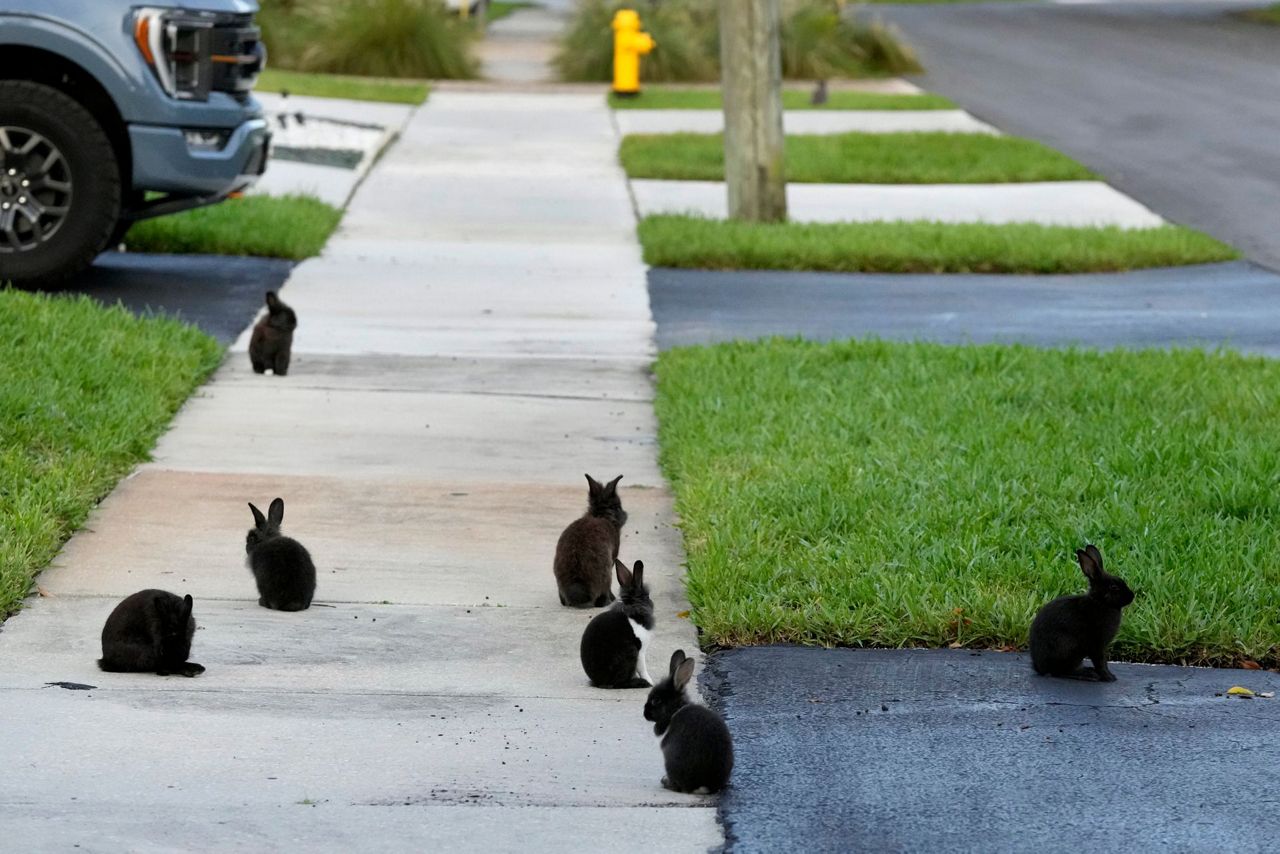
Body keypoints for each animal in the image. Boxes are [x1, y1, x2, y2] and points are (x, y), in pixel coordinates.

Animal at [553, 473, 626, 608]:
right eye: (617, 507)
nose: (625, 515)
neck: (602, 515)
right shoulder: (613, 558)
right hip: (606, 572)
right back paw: (608, 601)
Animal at [580, 558, 654, 689]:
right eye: (647, 596)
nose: (652, 604)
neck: (634, 607)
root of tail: (600, 682)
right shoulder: (640, 651)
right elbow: (642, 669)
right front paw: (651, 682)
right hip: (630, 652)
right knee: (620, 683)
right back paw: (641, 683)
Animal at [644, 650, 734, 794]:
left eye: (656, 700)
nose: (645, 714)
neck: (675, 710)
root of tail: (704, 786)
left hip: (670, 759)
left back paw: (665, 781)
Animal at [1029, 544, 1135, 682]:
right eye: (1114, 587)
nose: (1132, 596)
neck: (1100, 601)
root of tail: (1040, 667)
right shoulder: (1097, 645)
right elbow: (1100, 662)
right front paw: (1109, 677)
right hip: (1068, 648)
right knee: (1062, 671)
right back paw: (1088, 674)